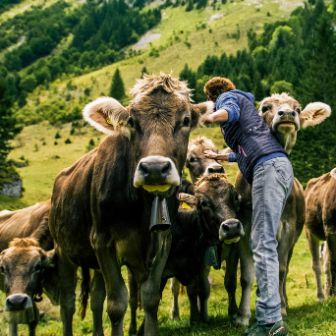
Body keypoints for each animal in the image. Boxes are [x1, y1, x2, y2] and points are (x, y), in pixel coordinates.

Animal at [48, 73, 214, 336]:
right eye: (132, 121)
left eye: (186, 120)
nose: (155, 168)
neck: (142, 208)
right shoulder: (102, 239)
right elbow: (117, 303)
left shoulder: (162, 240)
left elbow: (150, 298)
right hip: (63, 250)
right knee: (67, 304)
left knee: (96, 298)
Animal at [234, 92, 330, 326]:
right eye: (265, 107)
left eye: (297, 108)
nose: (286, 113)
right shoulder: (244, 229)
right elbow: (247, 276)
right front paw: (242, 315)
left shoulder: (286, 229)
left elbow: (280, 269)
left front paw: (282, 309)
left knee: (283, 270)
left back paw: (283, 301)